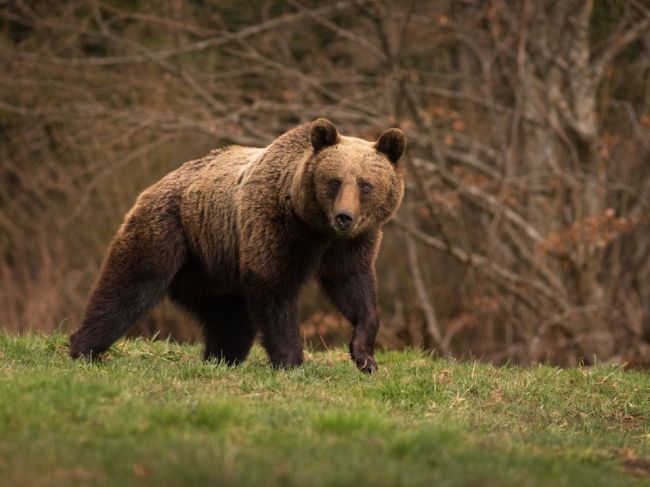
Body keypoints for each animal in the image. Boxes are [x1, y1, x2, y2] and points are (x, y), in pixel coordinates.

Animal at [71, 119, 404, 374]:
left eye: (365, 184)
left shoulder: (352, 244)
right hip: (170, 232)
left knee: (229, 320)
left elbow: (354, 288)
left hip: (211, 269)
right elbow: (275, 289)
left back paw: (220, 358)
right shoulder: (275, 227)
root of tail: (153, 186)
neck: (314, 226)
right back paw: (84, 348)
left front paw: (365, 357)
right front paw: (291, 361)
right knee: (128, 287)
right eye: (334, 181)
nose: (344, 216)